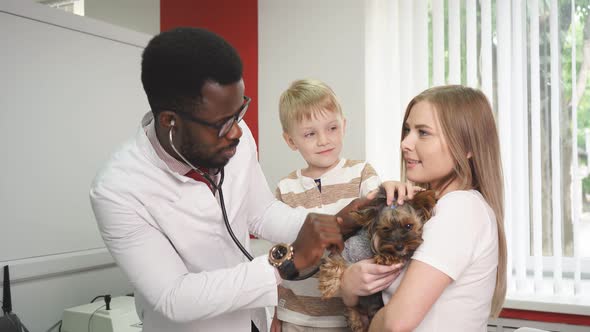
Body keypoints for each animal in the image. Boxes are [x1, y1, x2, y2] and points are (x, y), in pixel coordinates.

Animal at [320, 187, 440, 332]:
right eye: (386, 228)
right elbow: (336, 263)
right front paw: (328, 287)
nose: (399, 247)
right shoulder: (345, 252)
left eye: (409, 226)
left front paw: (386, 257)